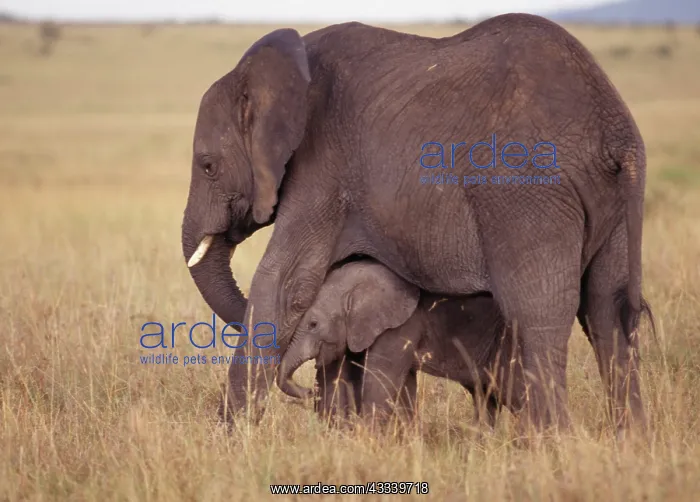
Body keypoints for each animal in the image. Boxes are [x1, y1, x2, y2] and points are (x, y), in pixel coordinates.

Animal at [276, 259, 509, 431]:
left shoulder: (400, 327)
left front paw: (366, 438)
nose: (309, 391)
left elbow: (382, 381)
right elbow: (404, 384)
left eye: (313, 324)